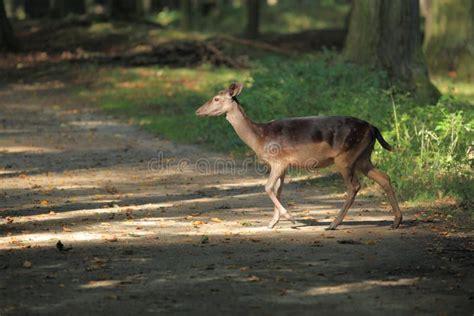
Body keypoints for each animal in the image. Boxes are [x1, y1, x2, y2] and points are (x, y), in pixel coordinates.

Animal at [194, 82, 402, 230]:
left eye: (216, 98)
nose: (198, 111)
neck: (259, 138)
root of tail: (373, 128)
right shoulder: (283, 165)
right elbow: (277, 189)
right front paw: (272, 223)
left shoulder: (278, 160)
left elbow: (267, 187)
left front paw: (290, 218)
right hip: (363, 156)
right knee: (384, 177)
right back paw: (396, 221)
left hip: (346, 156)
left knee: (354, 186)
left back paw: (333, 224)